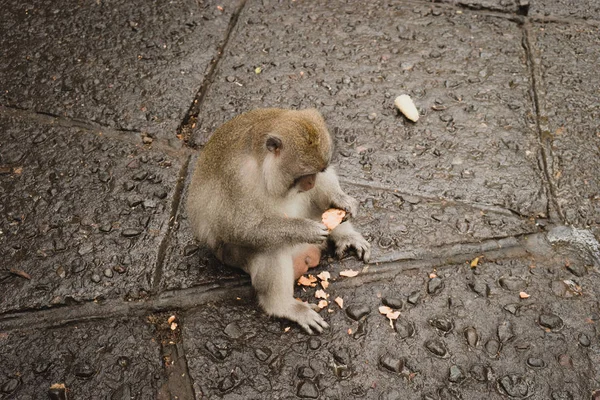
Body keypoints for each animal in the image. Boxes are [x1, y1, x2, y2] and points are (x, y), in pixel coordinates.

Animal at [188, 108, 370, 332]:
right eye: (304, 174)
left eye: (318, 171)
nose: (310, 183)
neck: (261, 163)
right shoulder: (237, 178)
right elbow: (239, 228)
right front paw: (304, 229)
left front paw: (341, 200)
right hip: (232, 256)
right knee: (271, 246)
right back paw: (283, 306)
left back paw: (345, 234)